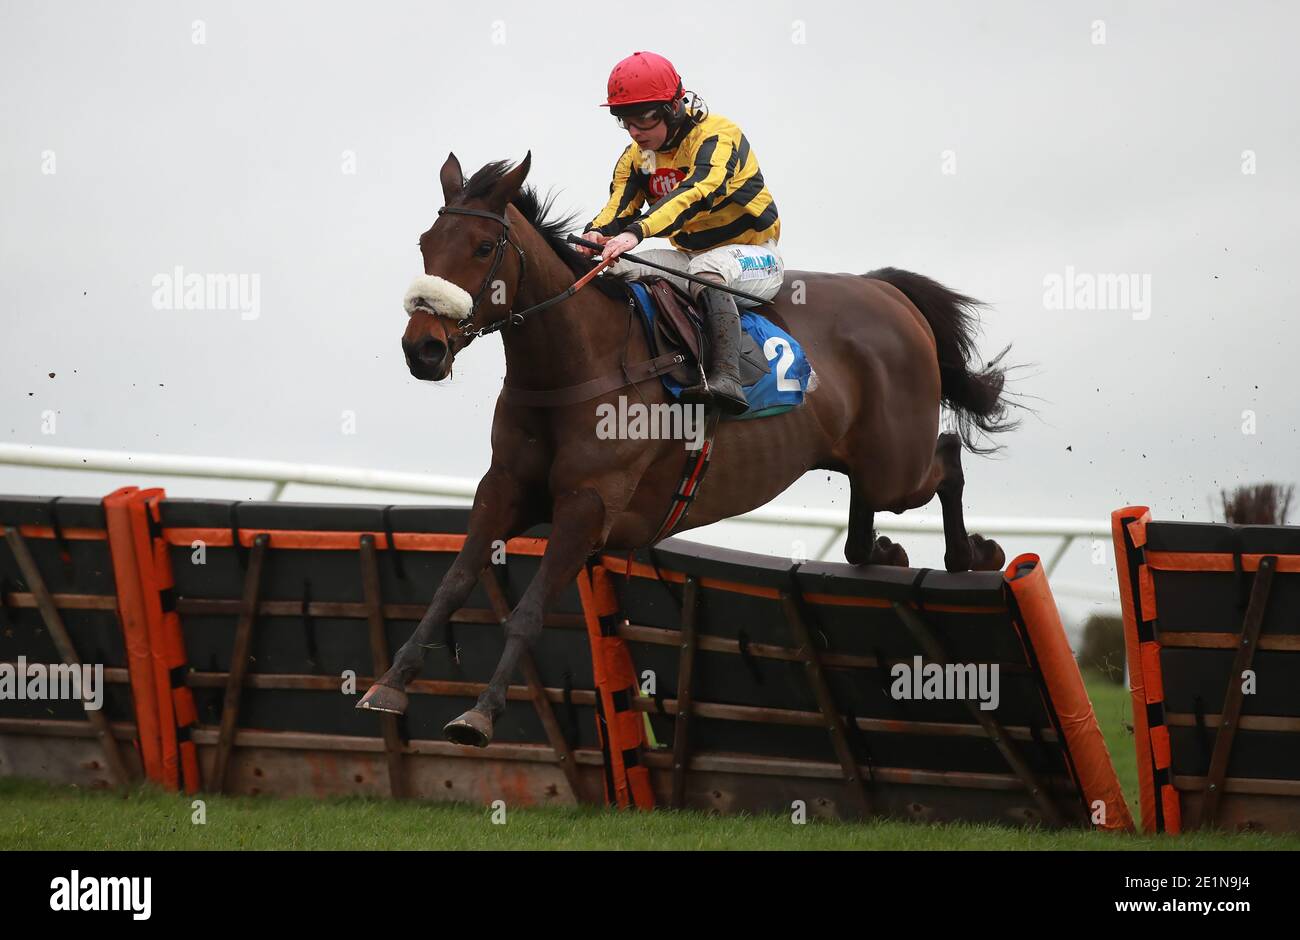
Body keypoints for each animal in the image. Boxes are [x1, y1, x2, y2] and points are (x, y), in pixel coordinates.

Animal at [358, 150, 1013, 748]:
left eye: (482, 247)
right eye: (426, 242)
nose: (423, 349)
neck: (578, 362)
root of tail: (886, 291)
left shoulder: (588, 506)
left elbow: (529, 611)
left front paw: (479, 714)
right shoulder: (505, 489)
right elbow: (452, 583)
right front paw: (389, 685)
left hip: (896, 465)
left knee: (946, 457)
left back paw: (972, 555)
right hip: (867, 462)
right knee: (865, 518)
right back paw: (883, 551)